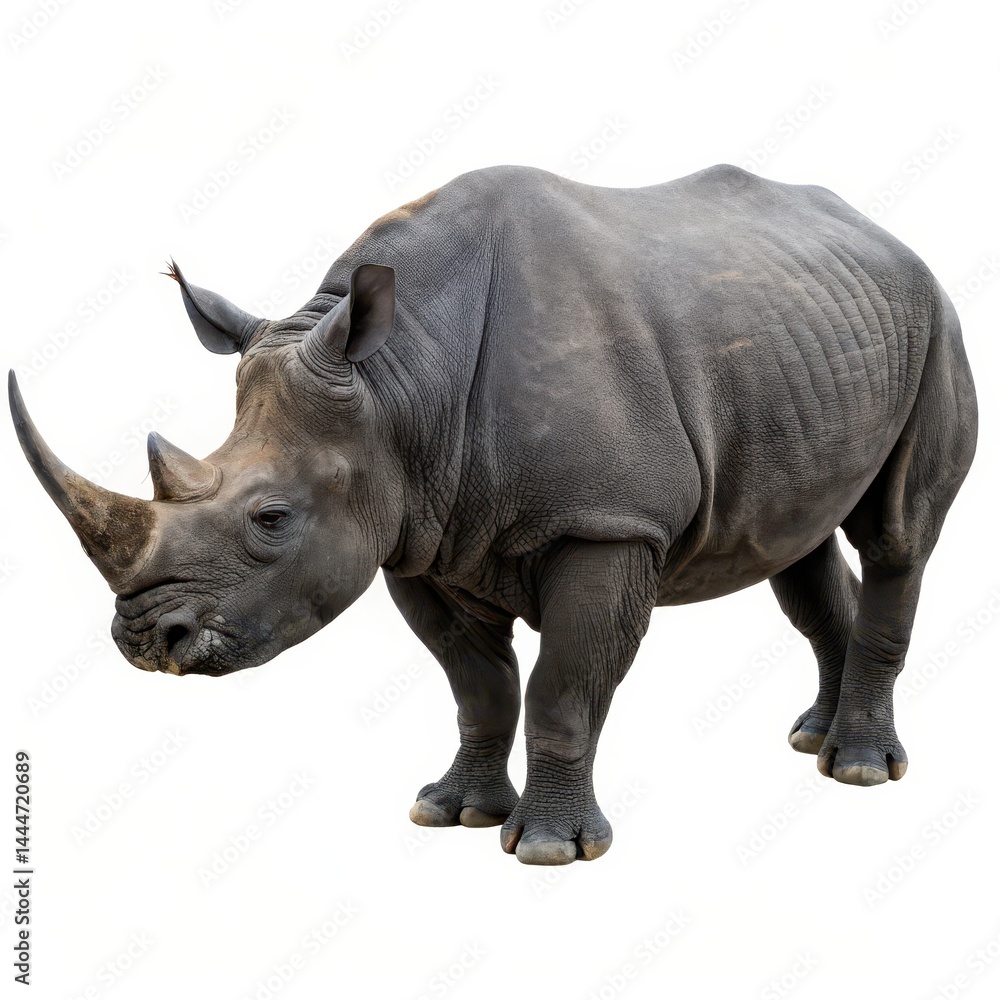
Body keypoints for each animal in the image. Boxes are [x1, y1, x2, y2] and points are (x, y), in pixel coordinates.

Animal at [10, 164, 977, 865]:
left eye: (271, 519)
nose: (145, 641)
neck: (399, 386)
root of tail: (886, 234)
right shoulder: (418, 532)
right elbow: (476, 686)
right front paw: (452, 813)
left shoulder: (607, 521)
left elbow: (563, 687)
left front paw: (550, 851)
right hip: (804, 345)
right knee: (794, 544)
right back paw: (814, 740)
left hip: (936, 321)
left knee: (896, 536)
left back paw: (859, 771)